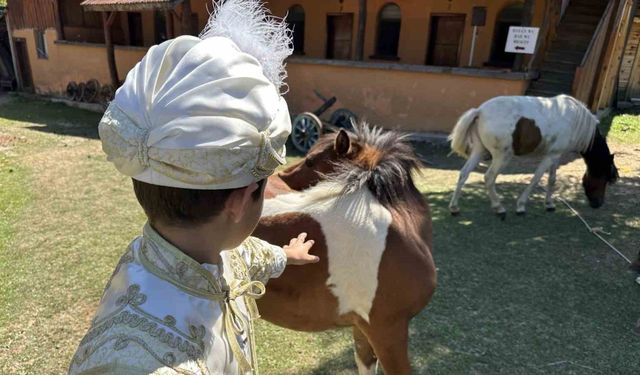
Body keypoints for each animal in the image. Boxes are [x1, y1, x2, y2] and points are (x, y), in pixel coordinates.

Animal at [448, 94, 616, 219]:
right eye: (606, 177)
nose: (598, 204)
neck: (575, 120)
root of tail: (480, 111)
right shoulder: (550, 156)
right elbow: (536, 178)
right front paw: (521, 206)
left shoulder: (555, 155)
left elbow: (552, 179)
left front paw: (549, 204)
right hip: (502, 157)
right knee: (489, 178)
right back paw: (499, 207)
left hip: (479, 151)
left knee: (464, 174)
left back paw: (454, 207)